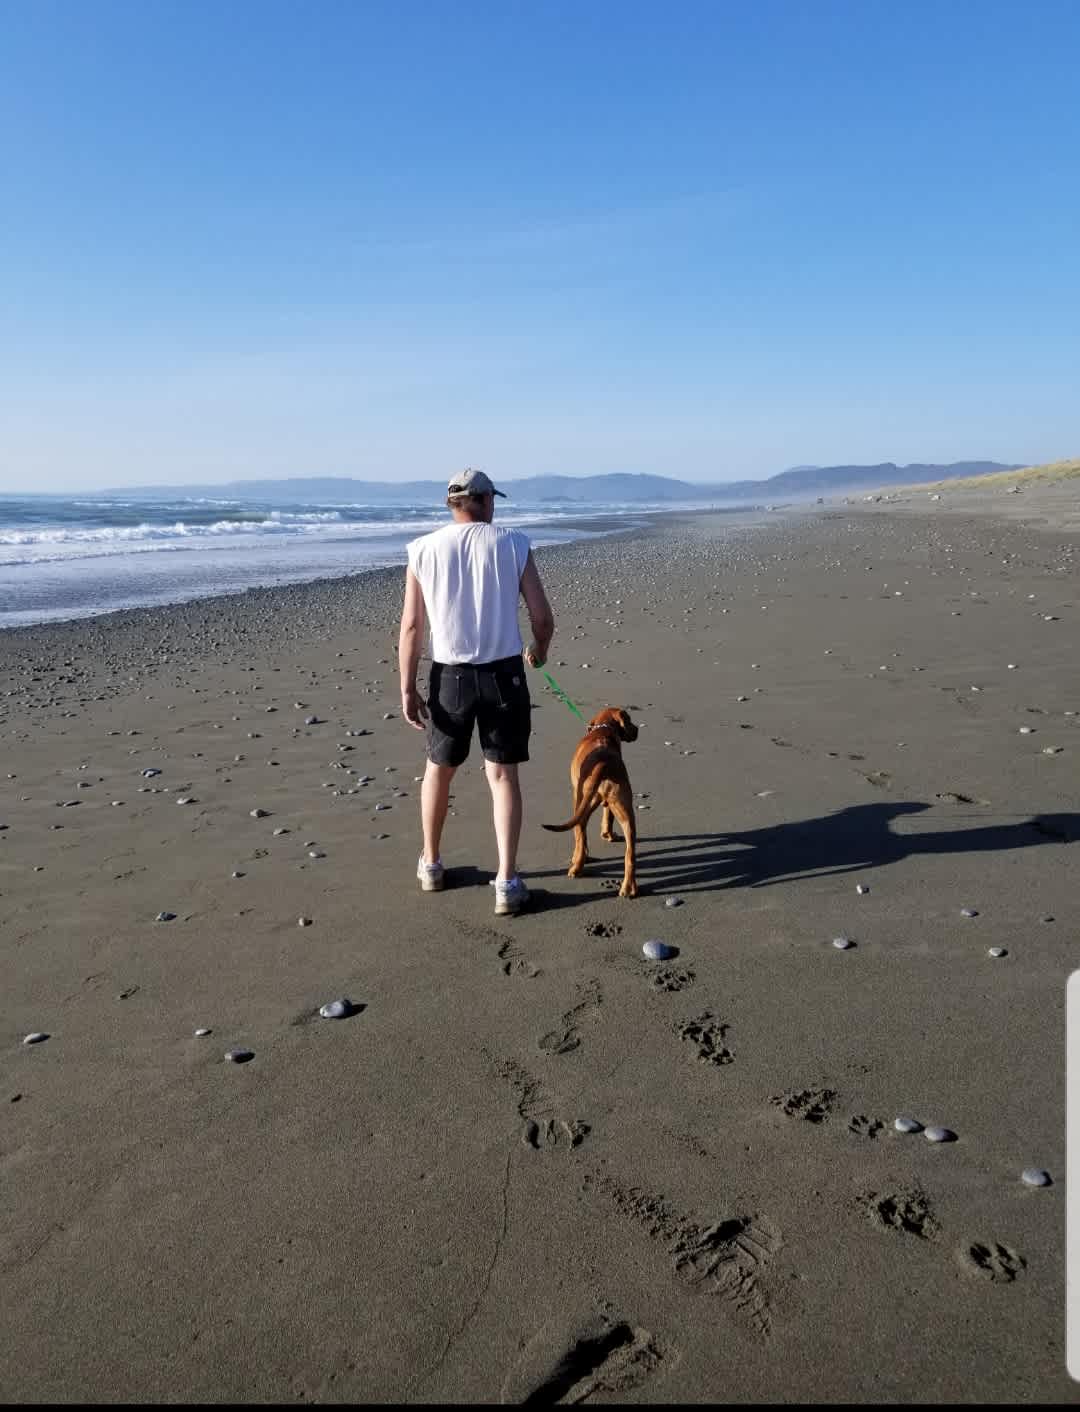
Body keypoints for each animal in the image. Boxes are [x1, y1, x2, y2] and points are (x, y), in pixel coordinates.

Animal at [542, 706, 635, 892]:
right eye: (629, 720)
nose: (637, 730)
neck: (603, 729)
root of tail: (604, 763)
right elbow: (608, 816)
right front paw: (608, 834)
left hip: (581, 801)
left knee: (580, 831)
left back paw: (577, 865)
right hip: (624, 807)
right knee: (630, 854)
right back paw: (629, 888)